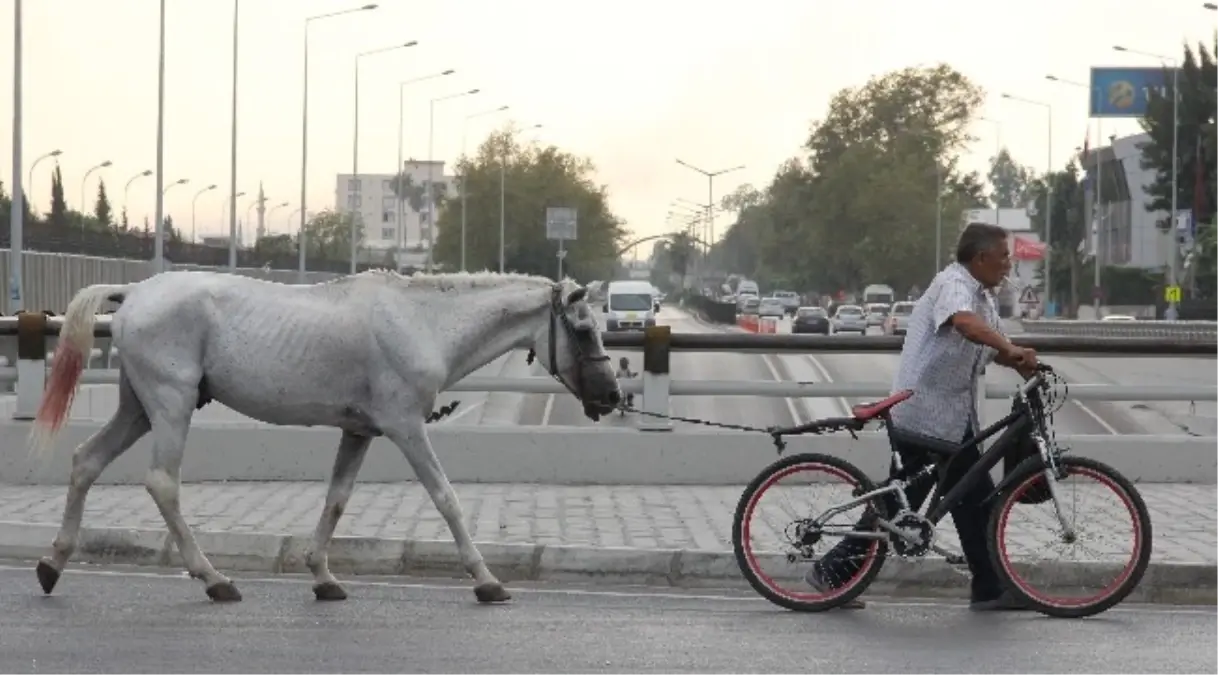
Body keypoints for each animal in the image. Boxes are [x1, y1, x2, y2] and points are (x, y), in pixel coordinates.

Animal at [28, 266, 618, 599]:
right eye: (584, 329)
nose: (611, 396)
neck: (421, 322)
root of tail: (133, 293)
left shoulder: (360, 432)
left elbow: (336, 500)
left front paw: (324, 578)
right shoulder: (406, 428)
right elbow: (446, 498)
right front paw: (487, 581)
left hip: (139, 409)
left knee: (86, 460)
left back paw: (52, 565)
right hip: (171, 406)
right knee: (162, 483)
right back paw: (215, 579)